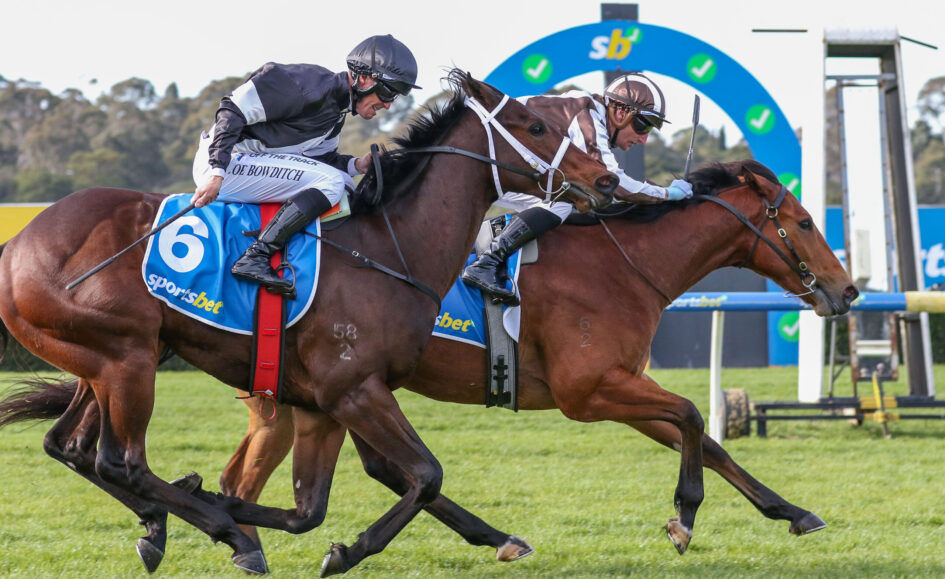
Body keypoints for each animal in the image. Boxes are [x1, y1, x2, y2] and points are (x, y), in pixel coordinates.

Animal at [0, 69, 620, 576]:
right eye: (537, 126)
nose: (606, 181)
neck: (388, 245)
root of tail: (18, 244)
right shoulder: (352, 389)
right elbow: (424, 475)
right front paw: (335, 549)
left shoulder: (328, 401)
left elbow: (315, 507)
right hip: (125, 360)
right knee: (120, 462)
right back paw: (215, 529)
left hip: (106, 360)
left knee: (72, 447)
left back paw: (165, 525)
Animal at [198, 160, 860, 564]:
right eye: (804, 221)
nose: (847, 290)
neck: (622, 264)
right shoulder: (589, 393)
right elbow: (695, 415)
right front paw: (684, 519)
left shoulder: (621, 385)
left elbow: (706, 439)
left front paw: (792, 512)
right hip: (327, 389)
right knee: (262, 478)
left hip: (321, 393)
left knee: (330, 473)